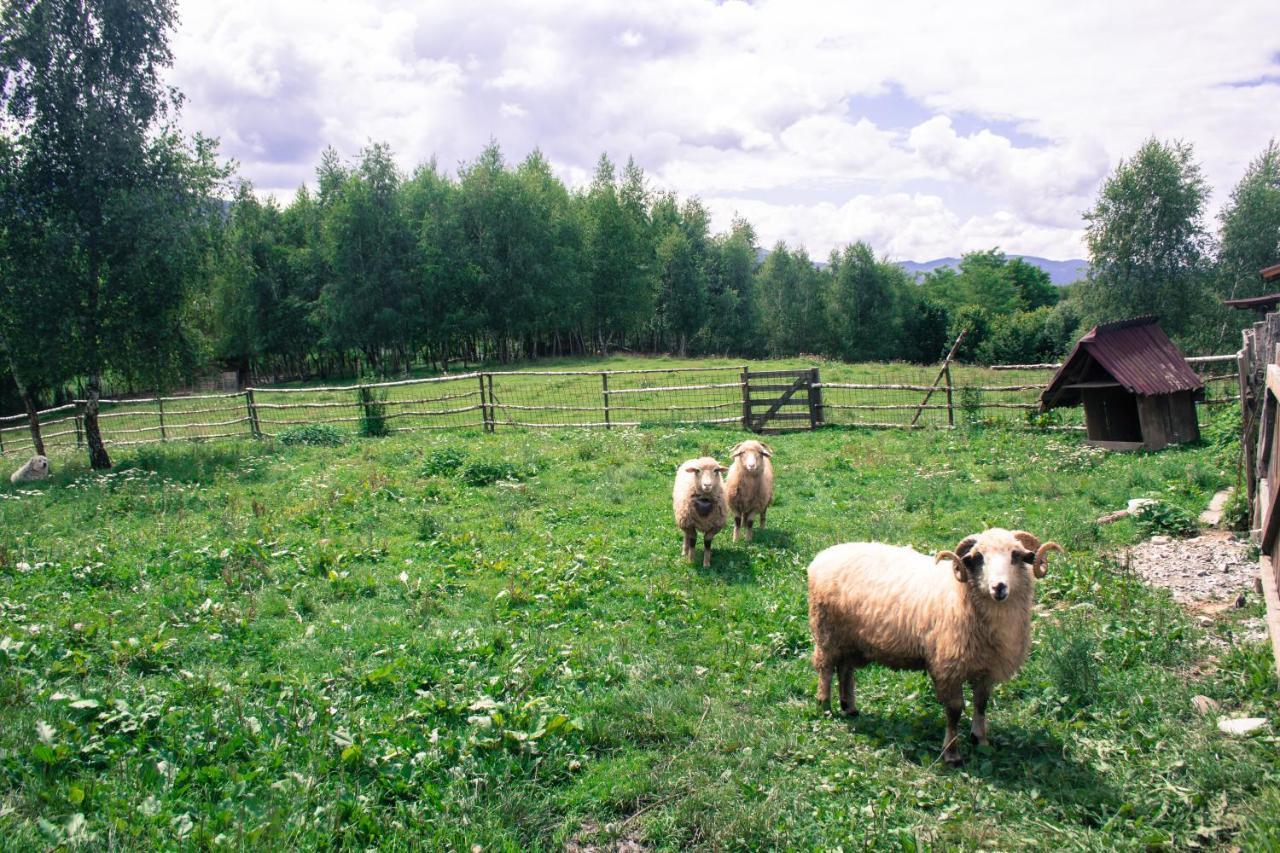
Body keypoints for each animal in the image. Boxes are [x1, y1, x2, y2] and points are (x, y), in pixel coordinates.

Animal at [803, 525, 1064, 763]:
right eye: (979, 557)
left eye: (1016, 555)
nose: (998, 587)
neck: (959, 593)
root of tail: (822, 556)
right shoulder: (948, 666)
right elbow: (954, 710)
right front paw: (951, 753)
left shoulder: (986, 668)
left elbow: (981, 704)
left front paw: (980, 740)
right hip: (827, 631)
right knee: (826, 668)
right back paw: (824, 705)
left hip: (852, 639)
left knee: (845, 669)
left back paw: (849, 706)